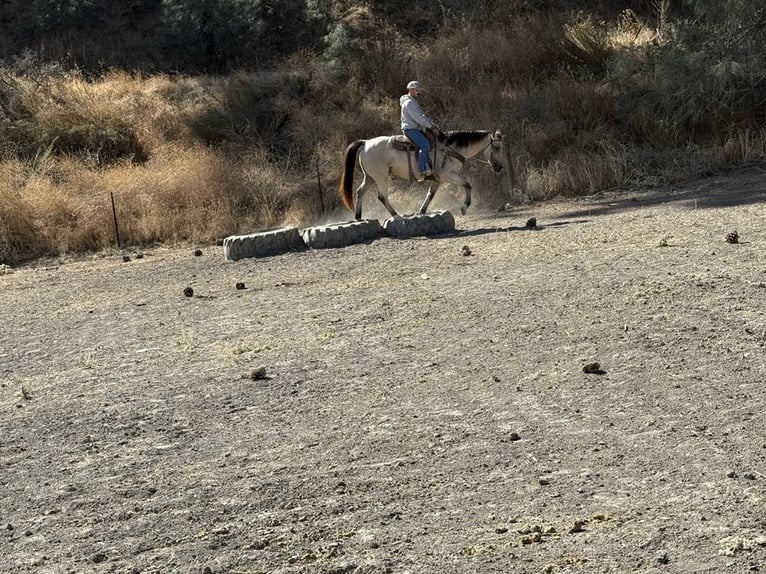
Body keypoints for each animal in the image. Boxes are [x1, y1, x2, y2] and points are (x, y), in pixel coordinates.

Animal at [339, 129, 510, 221]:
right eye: (496, 147)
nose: (500, 167)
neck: (450, 148)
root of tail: (365, 143)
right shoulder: (447, 175)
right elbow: (467, 185)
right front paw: (464, 207)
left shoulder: (438, 180)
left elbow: (430, 195)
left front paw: (421, 211)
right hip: (381, 177)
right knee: (382, 197)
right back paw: (397, 215)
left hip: (370, 178)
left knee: (359, 192)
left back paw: (359, 217)